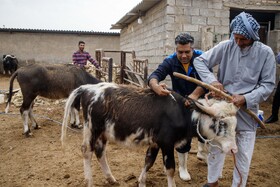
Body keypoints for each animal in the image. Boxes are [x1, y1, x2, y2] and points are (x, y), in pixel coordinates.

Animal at [61, 83, 238, 187]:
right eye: (222, 123)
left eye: (235, 124)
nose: (233, 149)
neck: (182, 112)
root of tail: (88, 88)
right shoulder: (167, 144)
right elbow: (170, 169)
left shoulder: (155, 143)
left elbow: (148, 162)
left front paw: (141, 182)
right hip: (92, 129)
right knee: (87, 151)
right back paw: (89, 181)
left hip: (103, 134)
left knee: (100, 152)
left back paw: (111, 178)